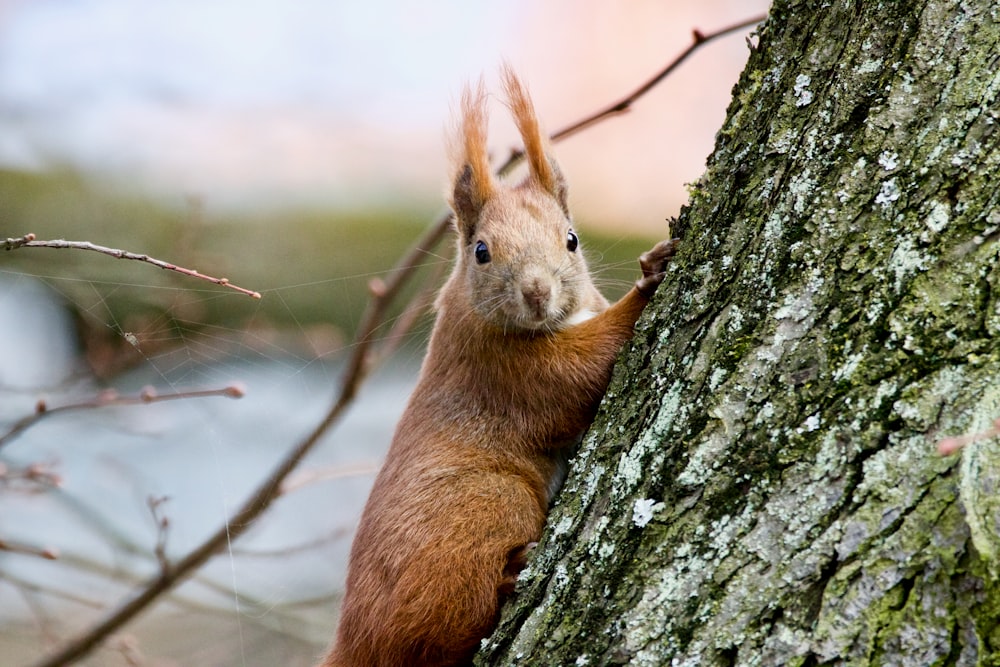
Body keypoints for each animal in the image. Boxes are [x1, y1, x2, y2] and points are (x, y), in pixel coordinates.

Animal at [320, 69, 680, 667]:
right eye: (482, 251)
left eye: (572, 239)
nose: (536, 292)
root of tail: (354, 645)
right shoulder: (501, 368)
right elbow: (581, 370)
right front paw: (648, 282)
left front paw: (651, 261)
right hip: (488, 505)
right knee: (435, 636)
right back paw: (509, 578)